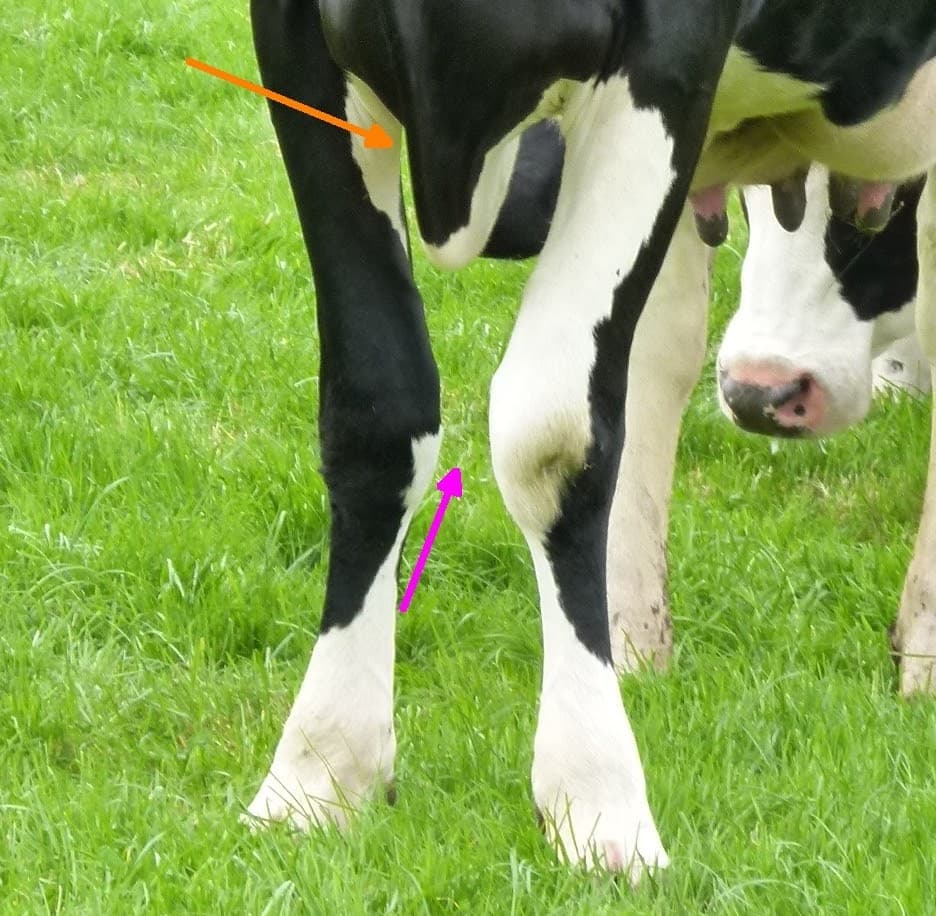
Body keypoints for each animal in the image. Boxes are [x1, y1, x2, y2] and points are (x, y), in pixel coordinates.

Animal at [246, 0, 936, 881]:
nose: (766, 393)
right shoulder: (292, 39)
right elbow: (378, 410)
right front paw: (321, 770)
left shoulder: (665, 54)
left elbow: (551, 437)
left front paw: (595, 793)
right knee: (666, 347)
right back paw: (637, 632)